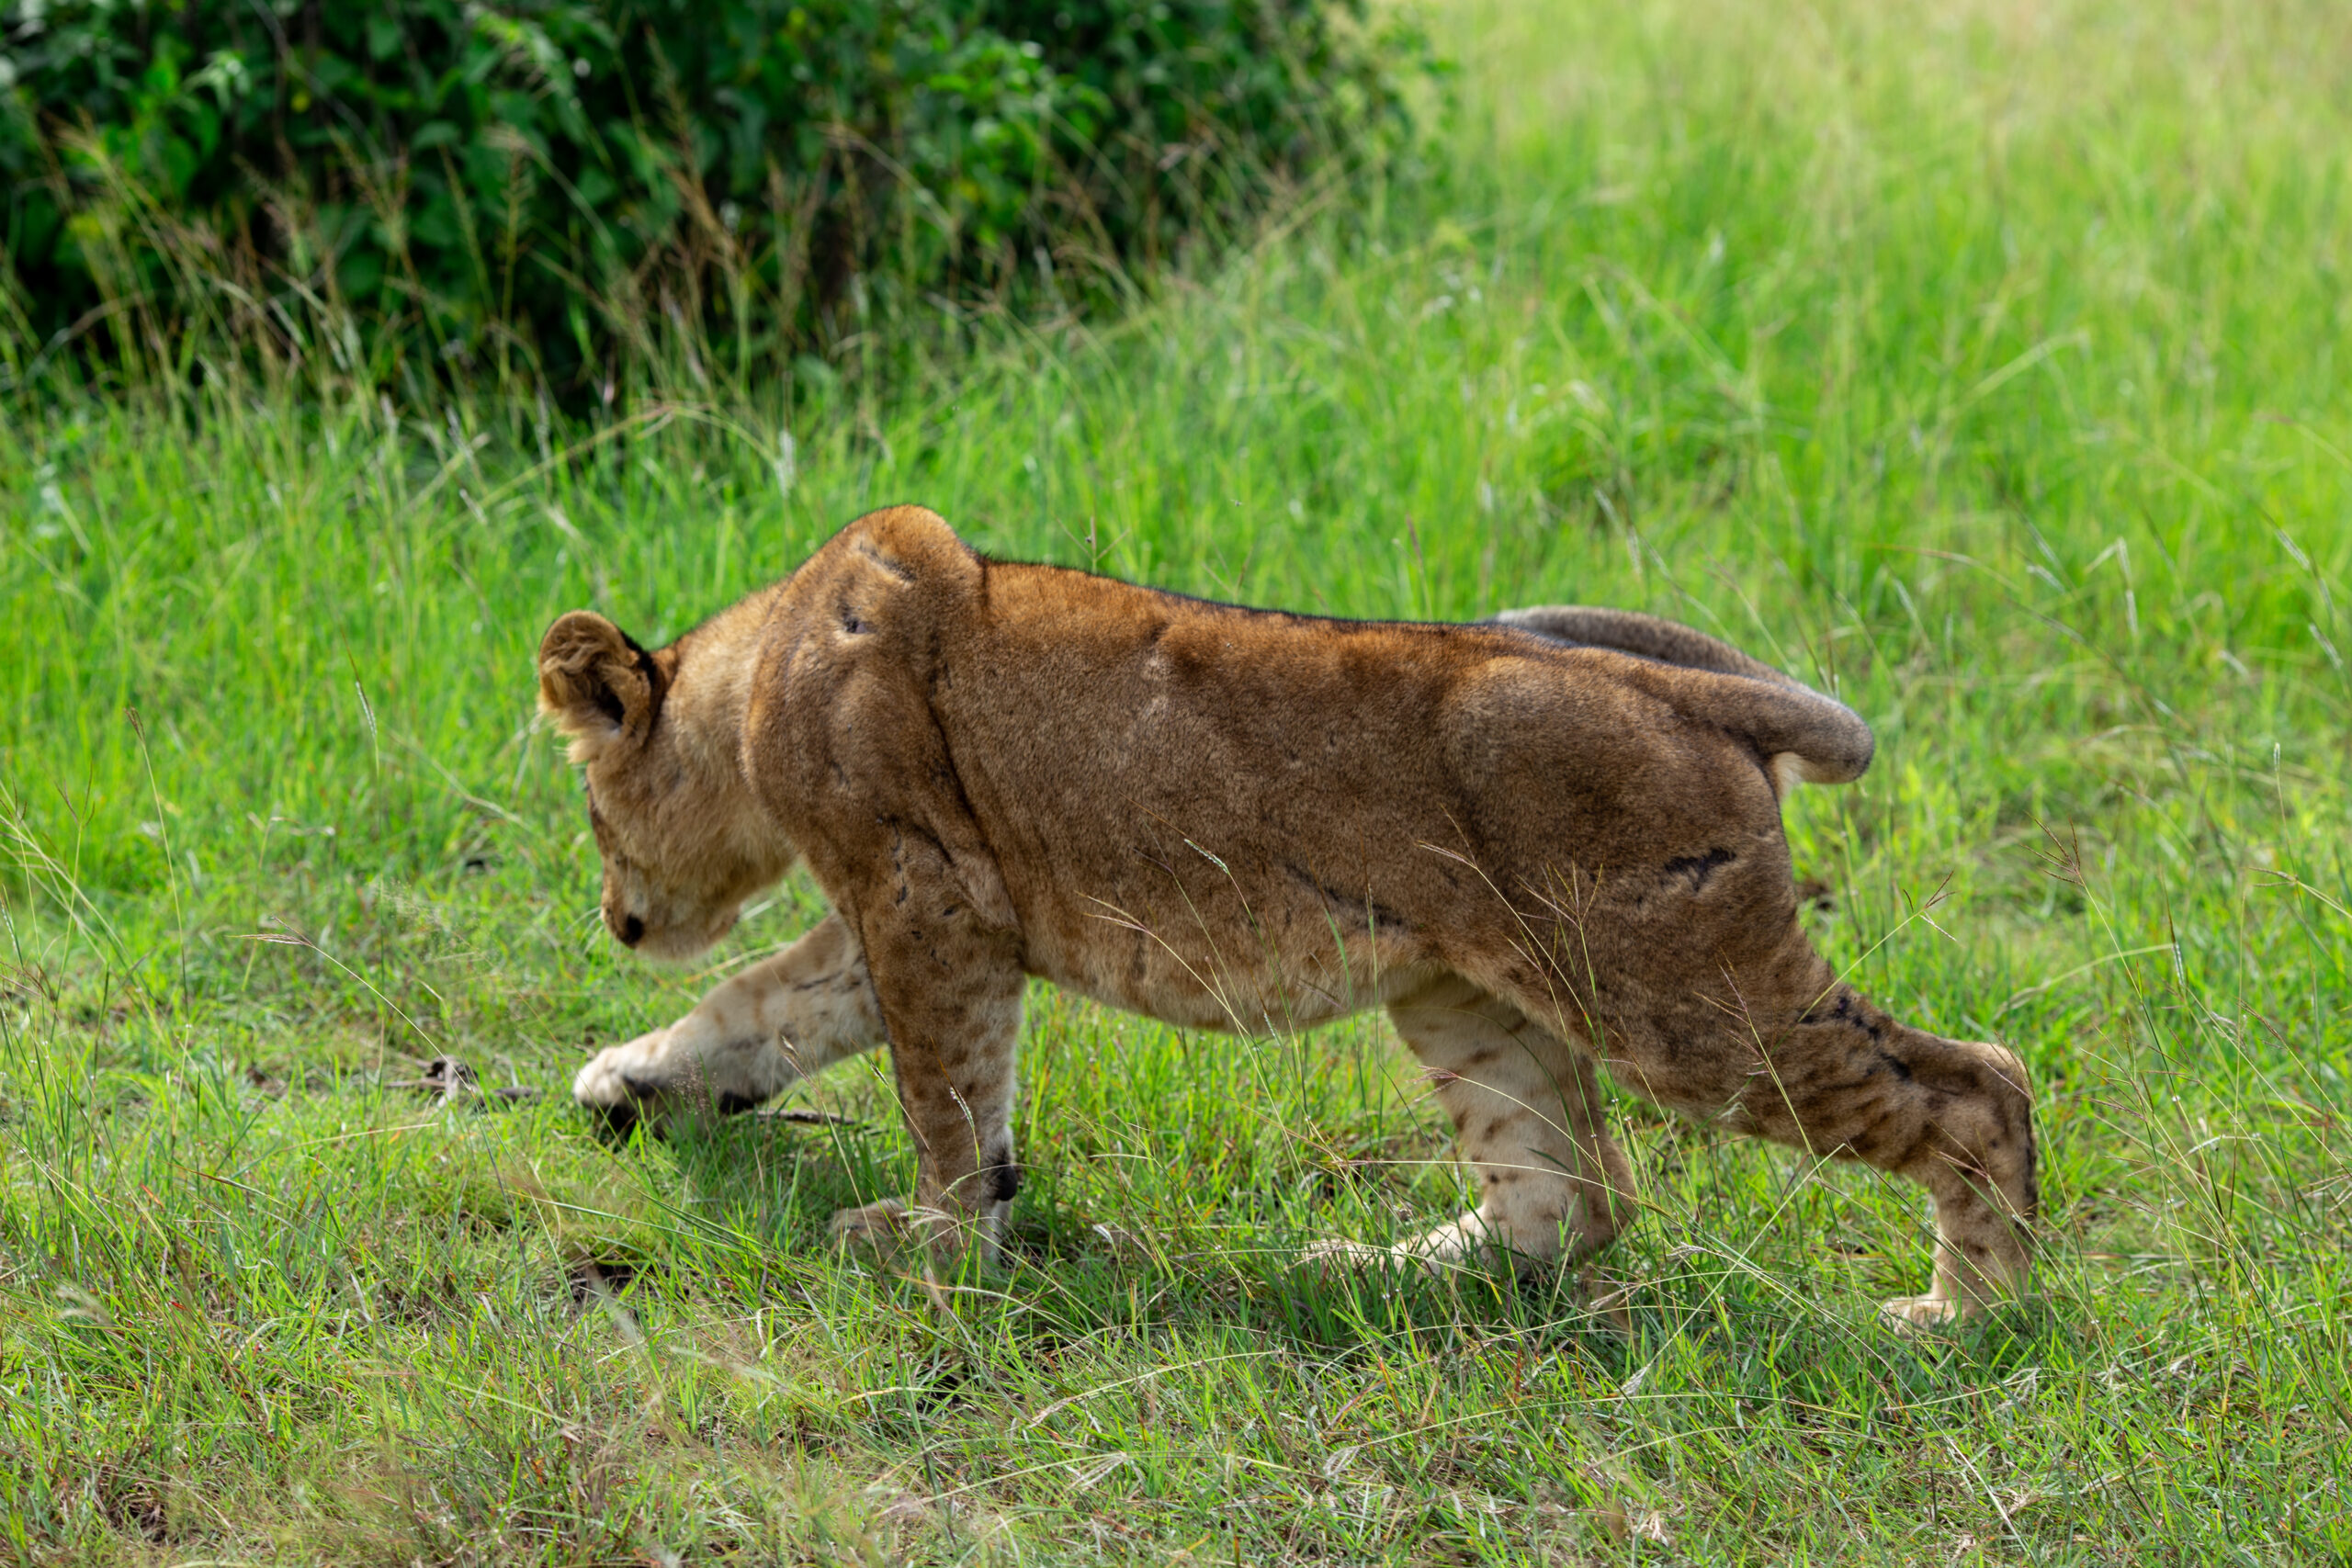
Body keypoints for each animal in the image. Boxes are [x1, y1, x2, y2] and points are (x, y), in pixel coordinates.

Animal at [540, 502, 2031, 1325]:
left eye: (596, 817)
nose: (617, 923)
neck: (764, 665)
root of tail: (1684, 690)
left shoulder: (928, 901)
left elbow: (943, 1102)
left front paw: (938, 1250)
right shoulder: (912, 913)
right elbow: (756, 1010)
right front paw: (628, 1083)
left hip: (1682, 1000)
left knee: (1982, 1085)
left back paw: (1964, 1315)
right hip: (1462, 988)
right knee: (1574, 1199)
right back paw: (1369, 1266)